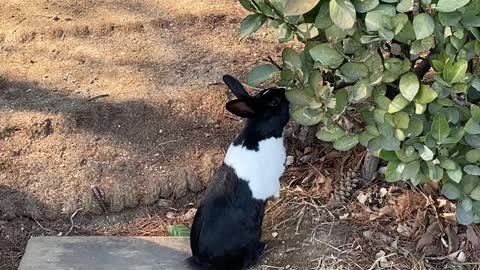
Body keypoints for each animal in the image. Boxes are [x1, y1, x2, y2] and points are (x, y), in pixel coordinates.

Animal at [188, 74, 288, 270]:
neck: (260, 132)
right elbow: (275, 189)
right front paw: (277, 197)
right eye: (274, 102)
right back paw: (261, 248)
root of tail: (203, 260)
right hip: (252, 234)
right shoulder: (273, 179)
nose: (284, 91)